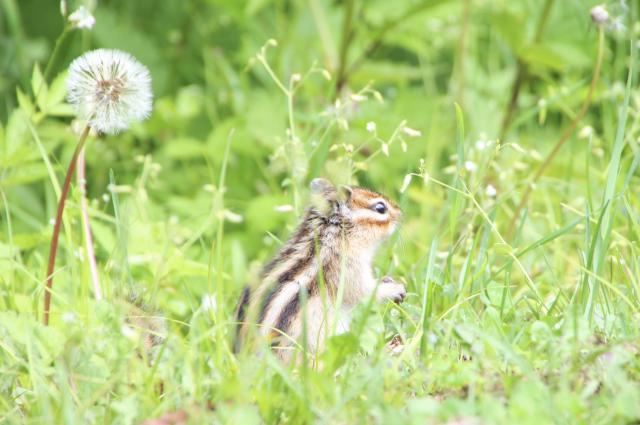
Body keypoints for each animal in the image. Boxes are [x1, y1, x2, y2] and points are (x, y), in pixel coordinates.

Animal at [234, 178, 406, 362]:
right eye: (380, 208)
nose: (400, 213)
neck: (328, 236)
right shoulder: (349, 271)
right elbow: (365, 292)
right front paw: (394, 289)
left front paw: (388, 280)